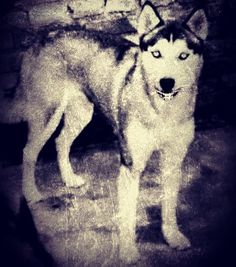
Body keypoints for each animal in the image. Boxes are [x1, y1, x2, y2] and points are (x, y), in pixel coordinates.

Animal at [0, 0, 207, 264]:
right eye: (156, 54)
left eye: (183, 56)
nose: (166, 82)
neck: (162, 111)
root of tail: (40, 38)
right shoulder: (130, 164)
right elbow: (128, 216)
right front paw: (127, 252)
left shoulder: (173, 160)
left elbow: (169, 206)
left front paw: (172, 237)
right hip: (48, 112)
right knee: (29, 151)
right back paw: (30, 193)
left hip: (81, 112)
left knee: (61, 141)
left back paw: (68, 178)